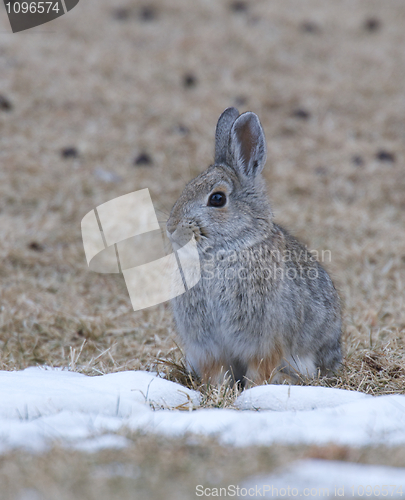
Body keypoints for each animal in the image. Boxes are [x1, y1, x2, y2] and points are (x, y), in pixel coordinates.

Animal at [166, 106, 340, 386]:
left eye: (217, 199)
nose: (171, 227)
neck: (225, 250)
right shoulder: (206, 345)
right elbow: (216, 371)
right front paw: (218, 391)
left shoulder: (263, 340)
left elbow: (260, 370)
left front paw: (253, 390)